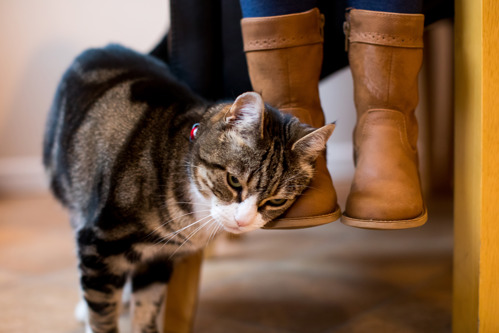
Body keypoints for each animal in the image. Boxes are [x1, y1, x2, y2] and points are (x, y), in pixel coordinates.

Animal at [44, 44, 336, 332]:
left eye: (276, 201)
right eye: (233, 181)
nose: (242, 222)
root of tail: (105, 46)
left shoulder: (159, 258)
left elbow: (147, 307)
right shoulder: (99, 242)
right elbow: (102, 315)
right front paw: (96, 314)